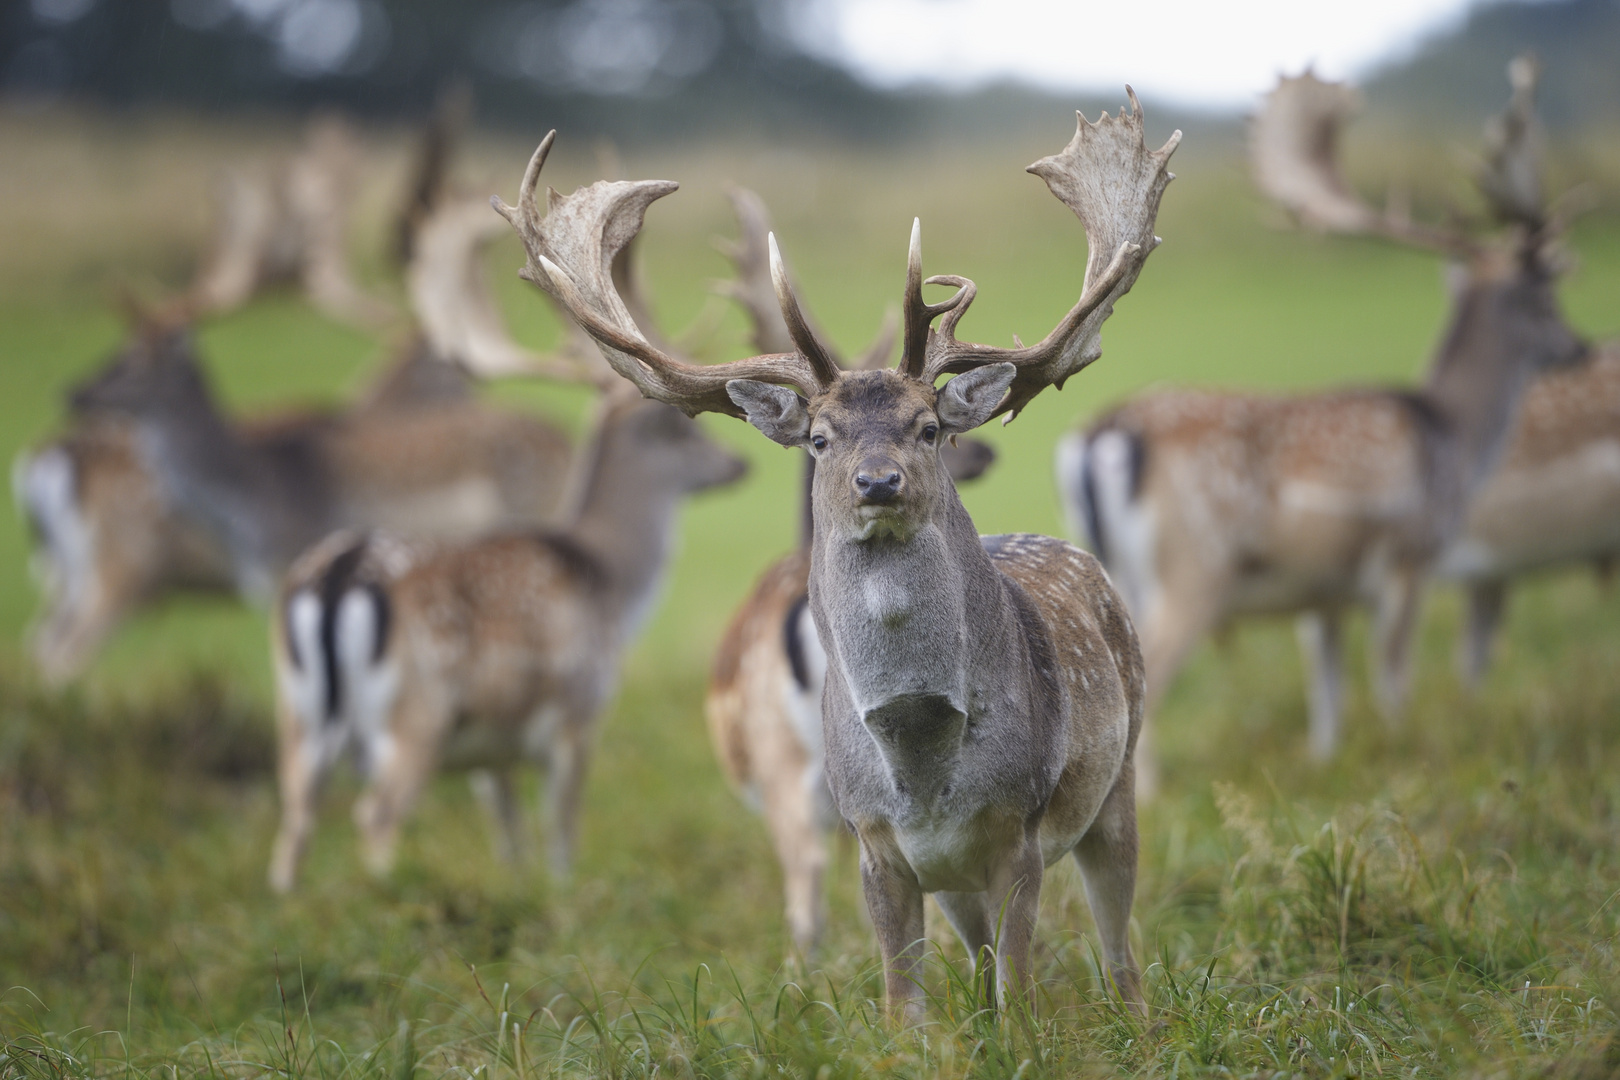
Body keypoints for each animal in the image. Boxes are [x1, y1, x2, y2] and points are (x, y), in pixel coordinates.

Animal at [265, 263, 745, 893]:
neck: (613, 584)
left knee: (295, 819)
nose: (740, 463)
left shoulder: (491, 750)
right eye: (686, 431)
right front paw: (566, 897)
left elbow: (510, 834)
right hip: (417, 711)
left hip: (297, 714)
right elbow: (562, 833)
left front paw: (516, 891)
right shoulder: (577, 711)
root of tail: (338, 576)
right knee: (376, 813)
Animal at [1056, 61, 1587, 786]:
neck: (1454, 436)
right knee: (1151, 683)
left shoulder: (1323, 594)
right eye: (1548, 299)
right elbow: (1393, 678)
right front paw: (1404, 754)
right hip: (1197, 568)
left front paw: (1328, 767)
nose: (1583, 347)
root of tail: (1103, 431)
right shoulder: (1409, 554)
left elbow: (1328, 693)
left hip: (1117, 572)